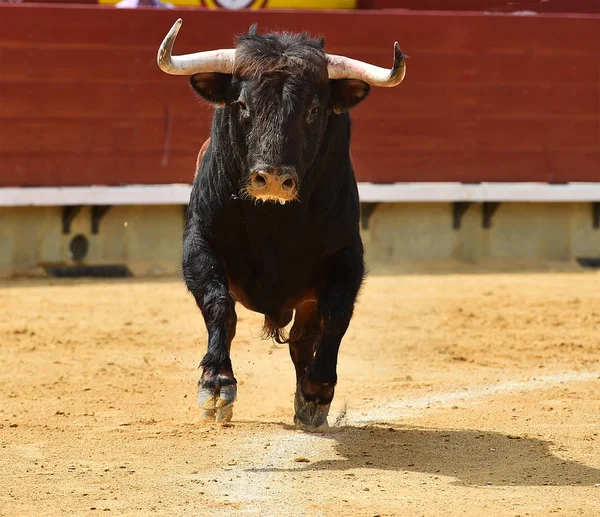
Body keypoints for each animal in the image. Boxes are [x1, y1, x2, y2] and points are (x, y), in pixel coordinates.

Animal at [159, 22, 406, 428]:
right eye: (243, 104)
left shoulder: (346, 254)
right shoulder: (199, 242)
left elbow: (336, 313)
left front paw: (317, 391)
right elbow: (218, 303)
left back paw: (308, 402)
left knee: (305, 337)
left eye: (314, 109)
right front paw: (216, 385)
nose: (273, 178)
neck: (273, 222)